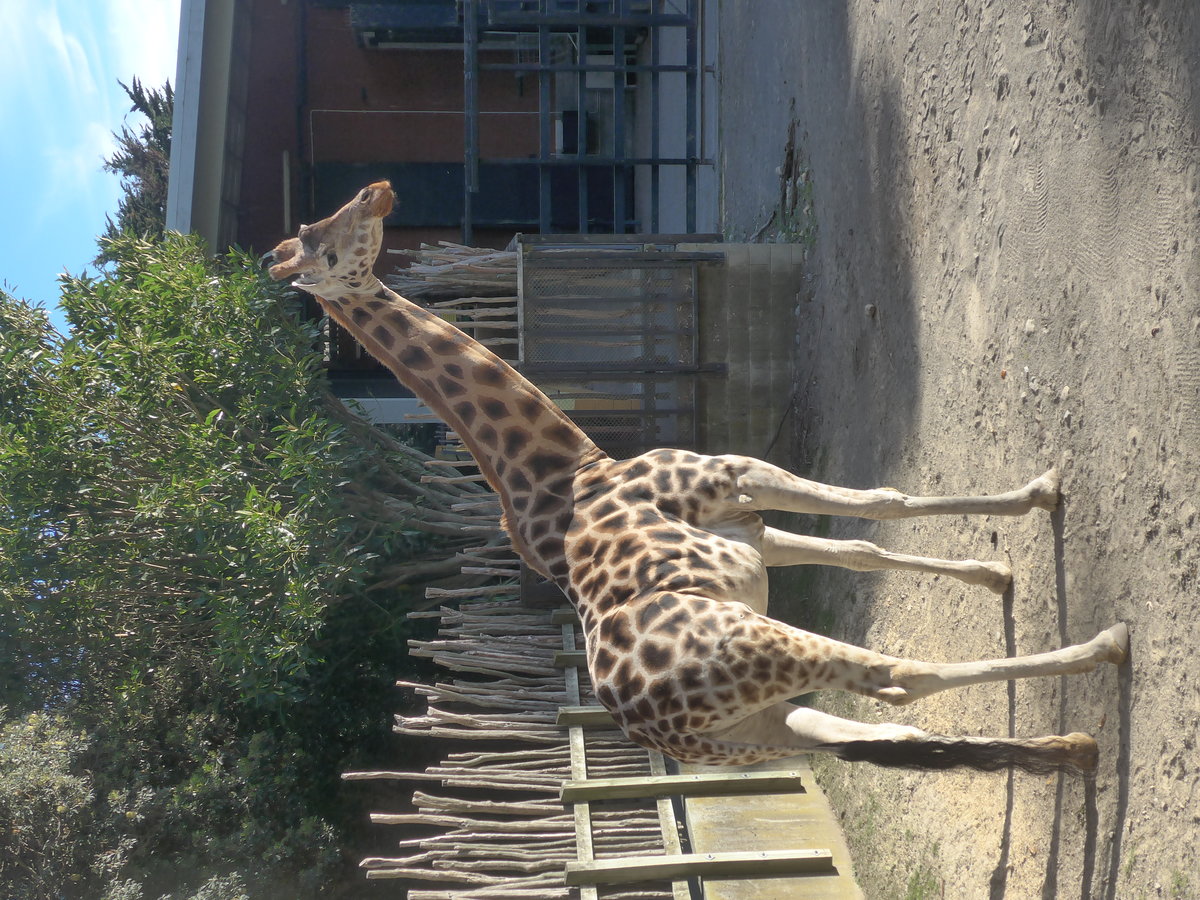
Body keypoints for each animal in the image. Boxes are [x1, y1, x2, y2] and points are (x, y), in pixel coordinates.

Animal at [268, 181, 1128, 774]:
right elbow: (881, 503)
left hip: (757, 732)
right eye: (317, 236)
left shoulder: (746, 526)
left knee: (887, 733)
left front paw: (995, 569)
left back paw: (1074, 750)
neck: (564, 468)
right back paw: (1104, 650)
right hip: (765, 653)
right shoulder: (736, 475)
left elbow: (861, 547)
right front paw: (1037, 498)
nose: (379, 190)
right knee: (896, 677)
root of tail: (657, 729)